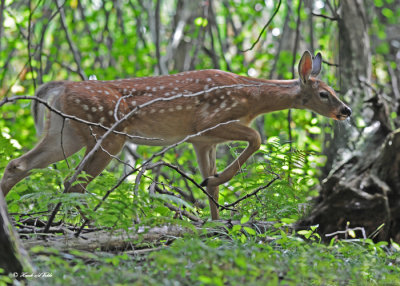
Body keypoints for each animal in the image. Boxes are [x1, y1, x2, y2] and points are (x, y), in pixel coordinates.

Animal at [0, 51, 350, 219]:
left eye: (334, 90)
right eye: (324, 94)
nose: (345, 110)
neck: (252, 97)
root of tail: (59, 88)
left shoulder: (202, 142)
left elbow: (212, 190)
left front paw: (216, 220)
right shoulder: (207, 122)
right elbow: (256, 138)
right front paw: (219, 182)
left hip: (66, 133)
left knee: (20, 165)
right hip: (107, 133)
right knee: (73, 182)